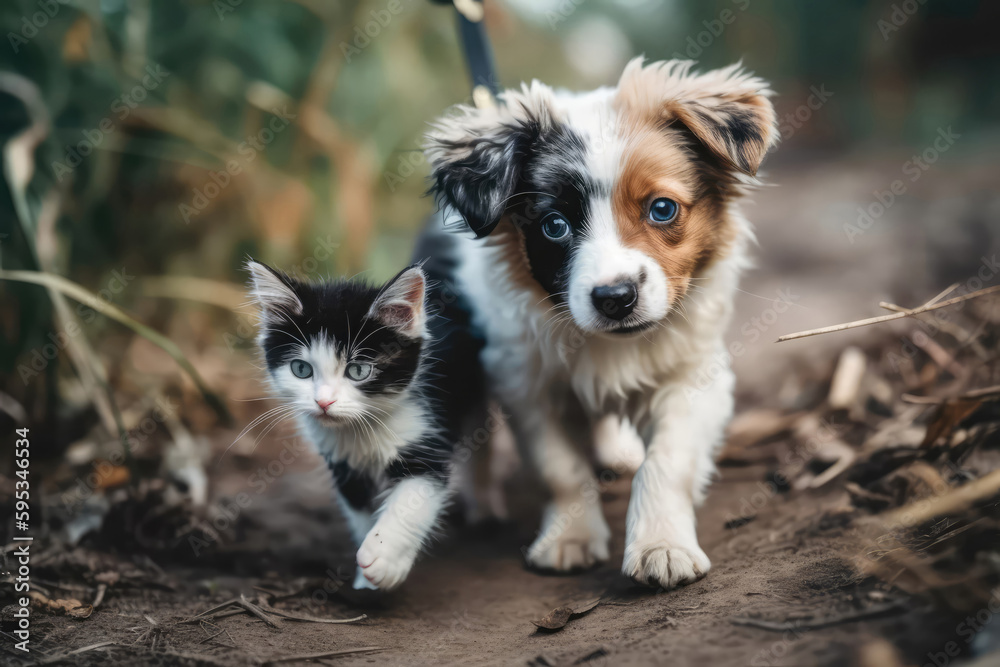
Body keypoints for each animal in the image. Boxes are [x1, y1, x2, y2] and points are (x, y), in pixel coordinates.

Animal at [248, 254, 486, 588]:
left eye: (358, 371)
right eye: (301, 369)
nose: (323, 402)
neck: (362, 427)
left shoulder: (428, 431)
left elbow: (414, 496)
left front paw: (384, 557)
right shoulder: (344, 465)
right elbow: (360, 510)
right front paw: (365, 580)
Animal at [426, 58, 776, 588]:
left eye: (662, 209)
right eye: (554, 226)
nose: (616, 298)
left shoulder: (695, 378)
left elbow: (667, 461)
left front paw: (661, 544)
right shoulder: (527, 387)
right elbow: (561, 469)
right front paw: (569, 539)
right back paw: (482, 506)